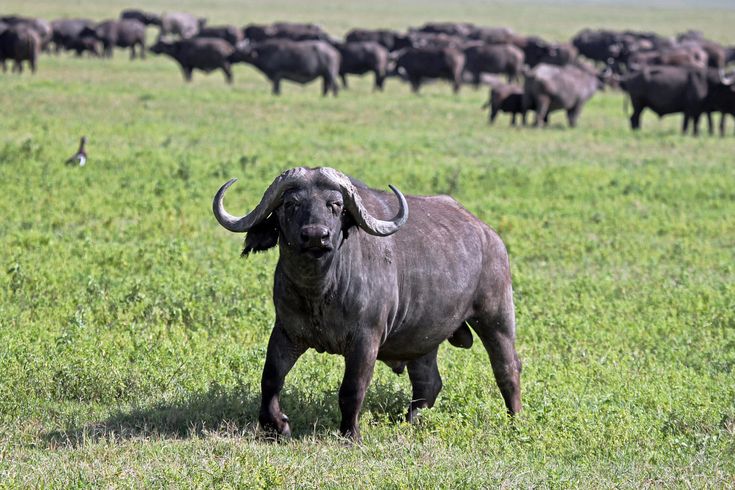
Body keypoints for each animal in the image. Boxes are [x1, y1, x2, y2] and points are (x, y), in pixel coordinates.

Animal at [212, 167, 522, 441]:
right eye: (291, 204)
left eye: (335, 204)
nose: (316, 236)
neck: (320, 291)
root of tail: (491, 236)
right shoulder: (286, 332)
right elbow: (270, 380)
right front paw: (276, 426)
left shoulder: (365, 340)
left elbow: (352, 389)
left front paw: (350, 434)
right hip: (423, 339)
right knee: (428, 383)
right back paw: (409, 422)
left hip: (496, 317)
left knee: (507, 369)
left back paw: (515, 421)